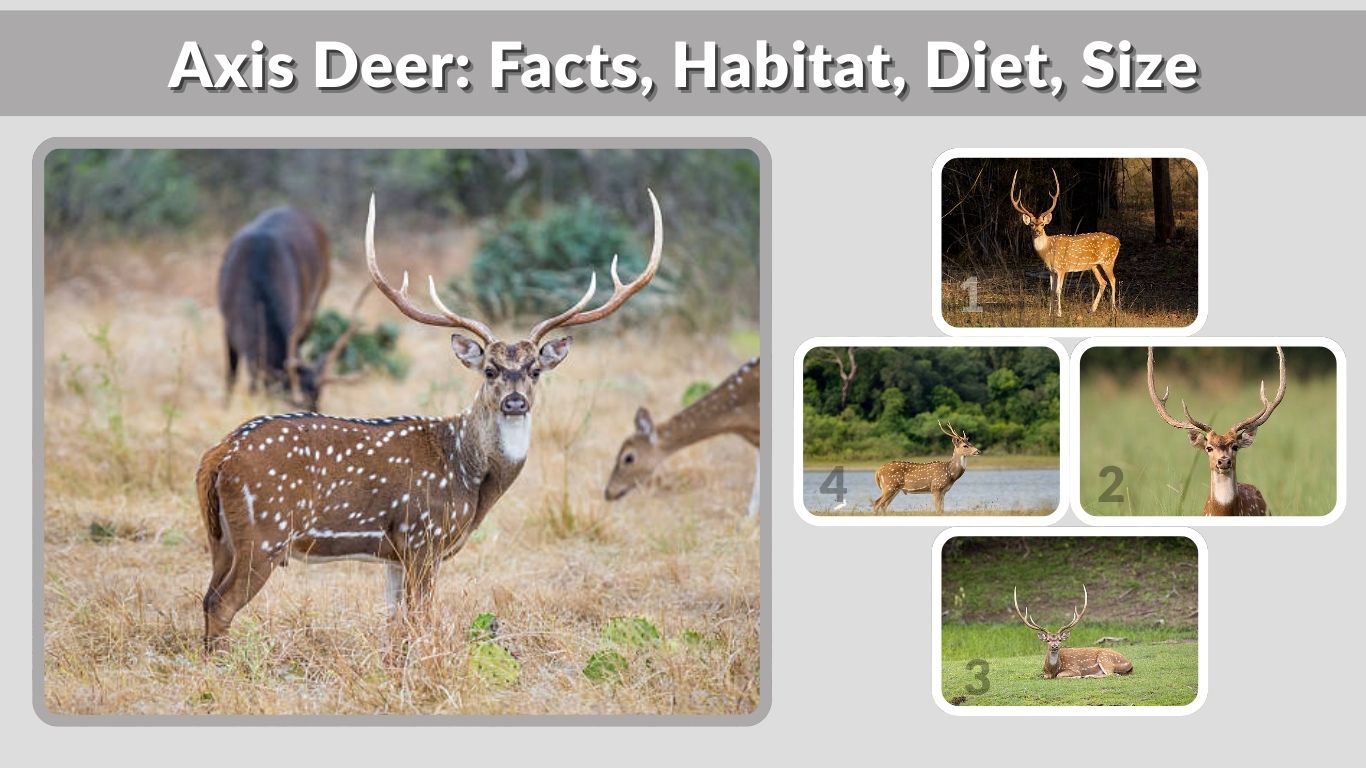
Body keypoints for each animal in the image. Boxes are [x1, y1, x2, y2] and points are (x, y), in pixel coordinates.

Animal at [195, 190, 663, 651]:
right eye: (489, 369)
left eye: (534, 370)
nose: (514, 402)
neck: (471, 476)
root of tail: (218, 456)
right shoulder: (424, 536)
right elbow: (422, 619)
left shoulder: (393, 552)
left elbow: (394, 622)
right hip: (265, 531)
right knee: (222, 602)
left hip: (221, 537)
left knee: (206, 596)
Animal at [1009, 168, 1121, 318]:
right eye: (1031, 224)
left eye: (1043, 224)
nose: (1037, 232)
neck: (1048, 252)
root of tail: (1118, 241)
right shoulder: (1051, 271)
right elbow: (1051, 290)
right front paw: (1049, 313)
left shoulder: (1062, 268)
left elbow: (1058, 290)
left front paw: (1059, 313)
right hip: (1094, 265)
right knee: (1103, 282)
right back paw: (1092, 309)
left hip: (1108, 260)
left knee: (1113, 280)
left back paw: (1113, 309)